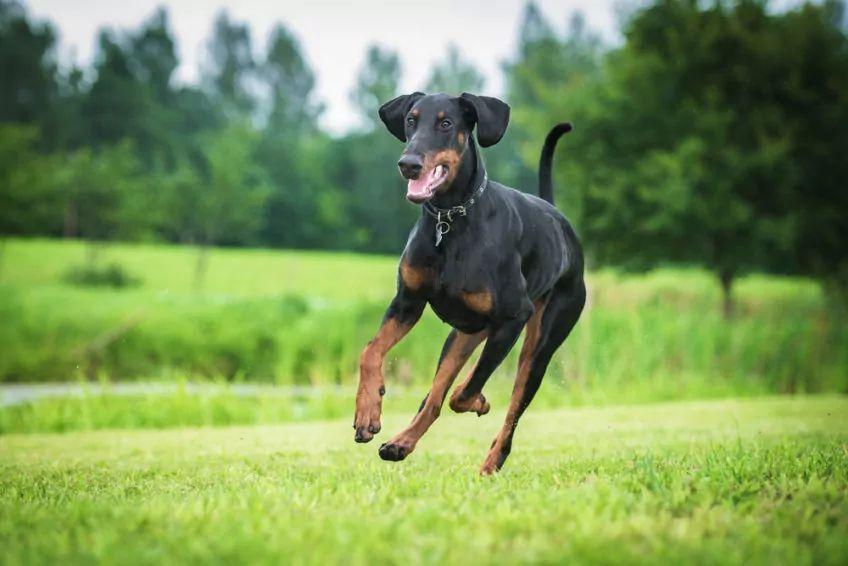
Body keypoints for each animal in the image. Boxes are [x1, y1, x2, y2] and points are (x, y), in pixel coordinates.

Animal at [352, 92, 584, 474]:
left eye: (446, 123)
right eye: (411, 120)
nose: (408, 164)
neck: (450, 221)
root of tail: (559, 220)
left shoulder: (514, 317)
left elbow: (464, 393)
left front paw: (479, 401)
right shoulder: (407, 301)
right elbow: (371, 351)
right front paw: (367, 413)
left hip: (541, 341)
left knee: (510, 408)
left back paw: (491, 462)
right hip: (463, 334)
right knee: (434, 396)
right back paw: (401, 443)